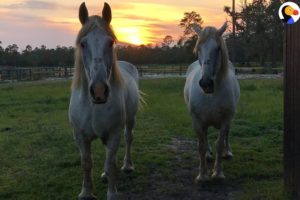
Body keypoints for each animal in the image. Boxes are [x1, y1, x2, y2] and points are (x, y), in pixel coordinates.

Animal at [69, 1, 141, 200]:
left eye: (110, 42)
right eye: (83, 44)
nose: (99, 91)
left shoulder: (114, 133)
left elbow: (111, 163)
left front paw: (112, 193)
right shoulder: (80, 136)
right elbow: (86, 163)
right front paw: (86, 192)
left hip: (130, 121)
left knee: (129, 139)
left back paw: (127, 166)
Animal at [183, 22, 239, 182]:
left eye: (218, 48)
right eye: (198, 49)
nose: (206, 83)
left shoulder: (226, 119)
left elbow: (219, 144)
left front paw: (218, 173)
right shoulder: (197, 120)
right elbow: (201, 146)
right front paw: (202, 175)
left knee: (226, 135)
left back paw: (228, 152)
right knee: (206, 136)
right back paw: (208, 155)